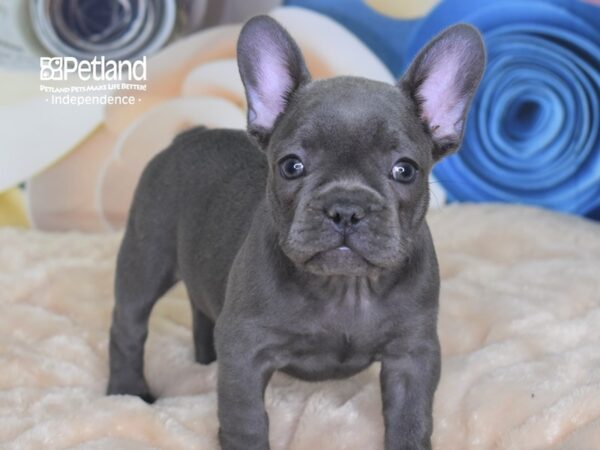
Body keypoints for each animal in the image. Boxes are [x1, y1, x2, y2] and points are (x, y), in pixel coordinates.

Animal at [106, 14, 482, 450]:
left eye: (405, 170)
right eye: (291, 166)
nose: (346, 208)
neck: (344, 288)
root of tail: (190, 133)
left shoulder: (412, 355)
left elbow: (411, 419)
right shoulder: (245, 352)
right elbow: (246, 420)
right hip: (145, 258)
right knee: (128, 327)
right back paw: (126, 391)